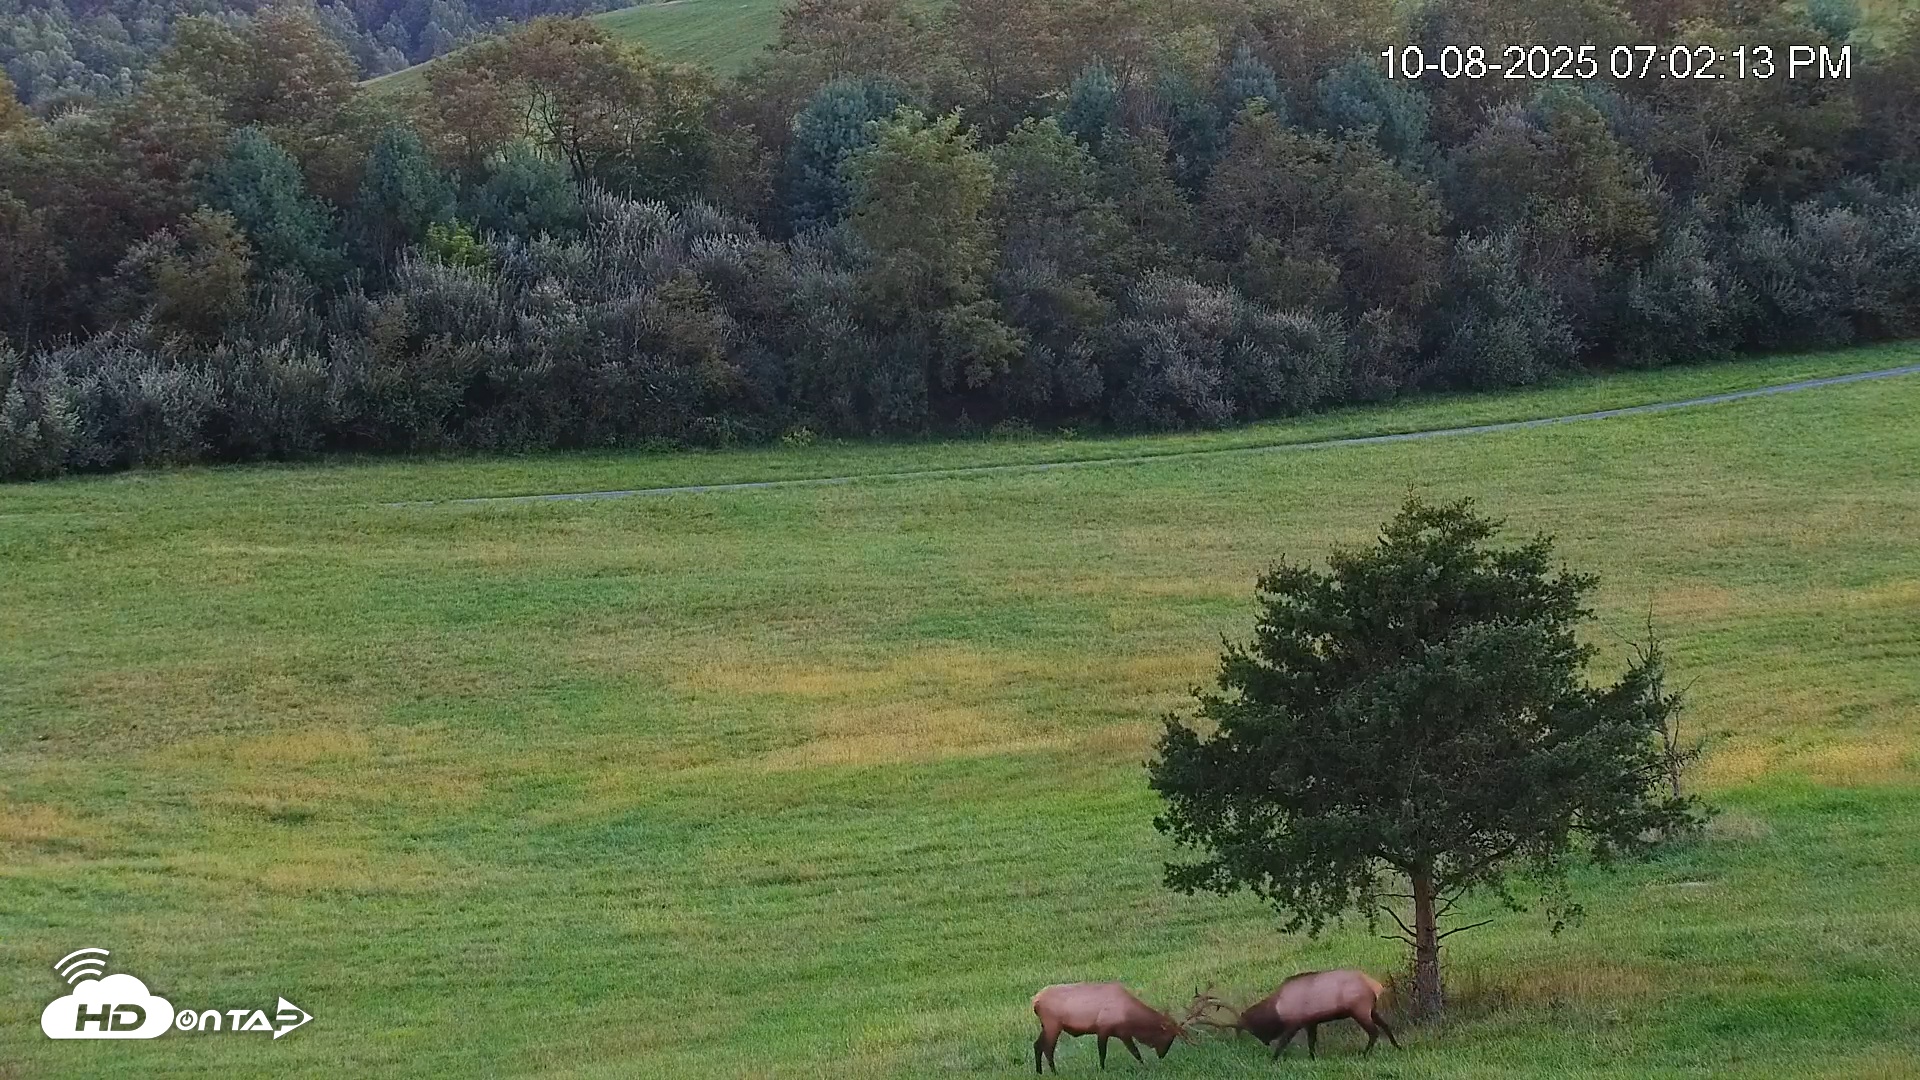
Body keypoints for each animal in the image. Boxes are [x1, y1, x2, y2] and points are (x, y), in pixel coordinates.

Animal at [1029, 982, 1226, 1073]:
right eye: (1168, 1037)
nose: (1162, 1055)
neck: (1130, 1018)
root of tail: (1034, 1001)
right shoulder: (1104, 1029)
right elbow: (1104, 1053)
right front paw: (1103, 1069)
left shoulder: (1122, 1033)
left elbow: (1135, 1052)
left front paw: (1144, 1065)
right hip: (1053, 1024)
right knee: (1048, 1048)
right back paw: (1054, 1071)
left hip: (1046, 1025)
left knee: (1037, 1045)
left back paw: (1040, 1072)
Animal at [1205, 969, 1401, 1060]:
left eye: (1252, 1028)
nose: (1265, 1041)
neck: (1277, 1009)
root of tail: (1377, 986)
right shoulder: (1311, 1022)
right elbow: (1311, 1043)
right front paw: (1313, 1057)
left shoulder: (1295, 1023)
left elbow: (1283, 1042)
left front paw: (1273, 1059)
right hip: (1371, 1010)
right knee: (1385, 1026)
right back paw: (1397, 1046)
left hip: (1359, 1010)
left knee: (1374, 1032)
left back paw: (1365, 1053)